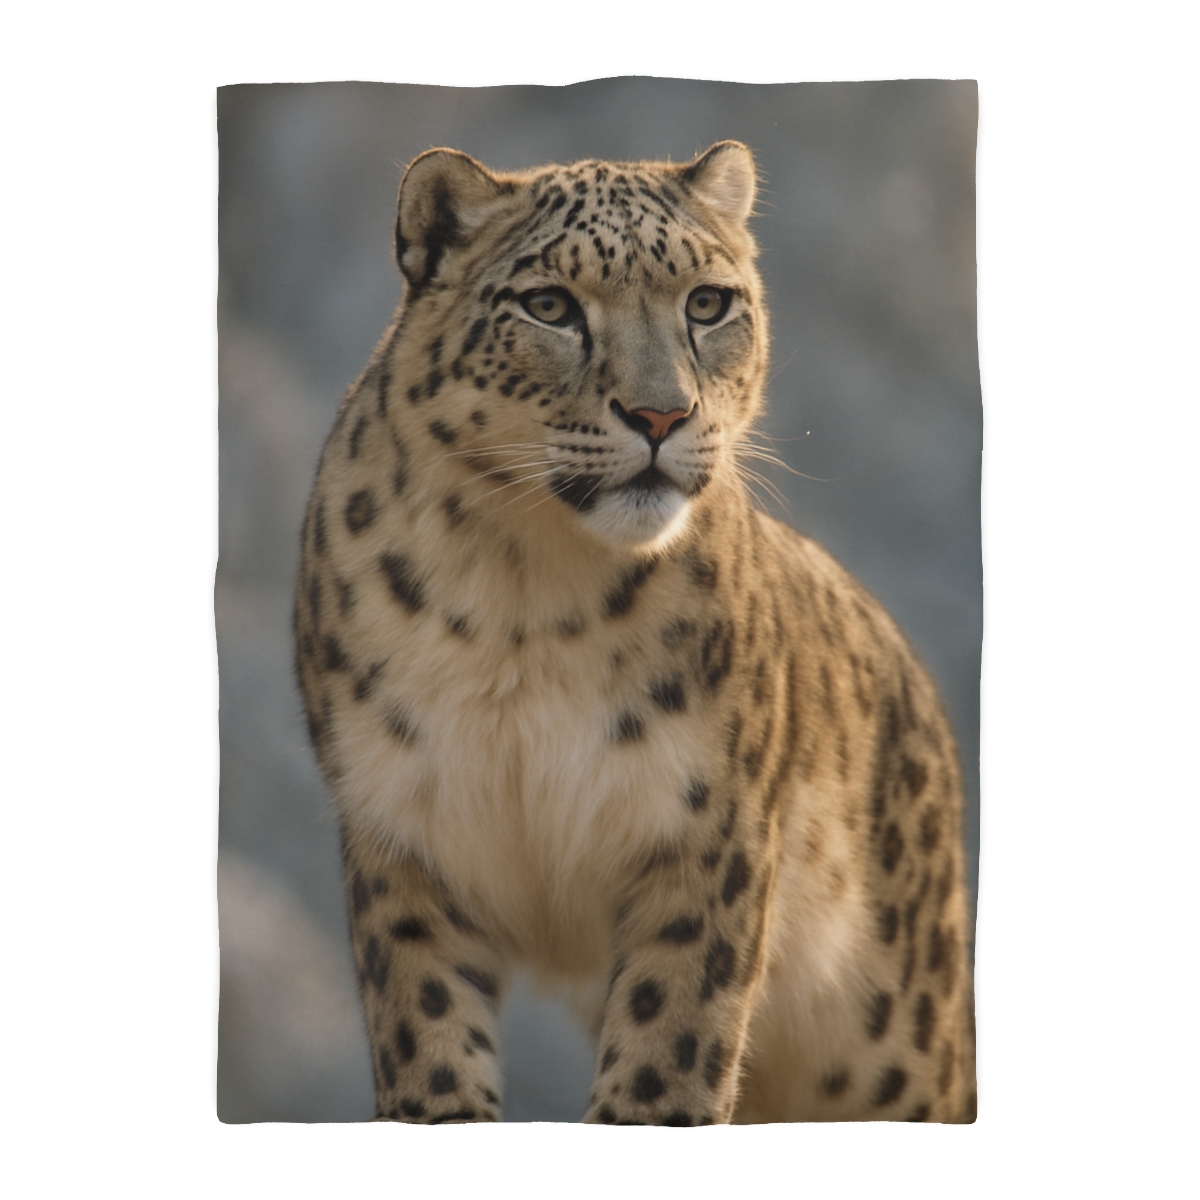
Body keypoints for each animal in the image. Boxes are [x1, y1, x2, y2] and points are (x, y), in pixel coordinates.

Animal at [293, 140, 977, 1125]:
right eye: (549, 306)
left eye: (707, 303)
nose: (662, 415)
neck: (523, 592)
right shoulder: (405, 837)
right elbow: (430, 1047)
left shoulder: (707, 838)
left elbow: (666, 1059)